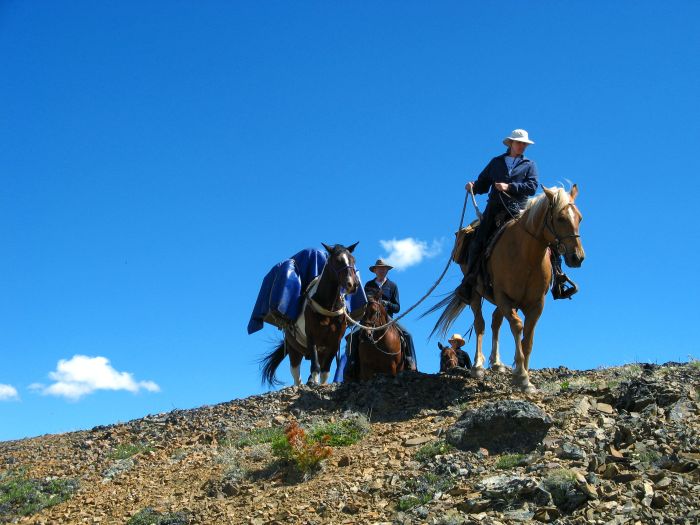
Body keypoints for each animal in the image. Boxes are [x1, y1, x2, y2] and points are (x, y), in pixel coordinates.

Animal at [262, 242, 360, 384]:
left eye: (353, 260)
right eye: (337, 261)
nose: (352, 284)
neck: (328, 308)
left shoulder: (334, 342)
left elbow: (325, 371)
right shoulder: (312, 337)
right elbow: (316, 367)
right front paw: (314, 383)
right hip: (294, 351)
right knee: (297, 377)